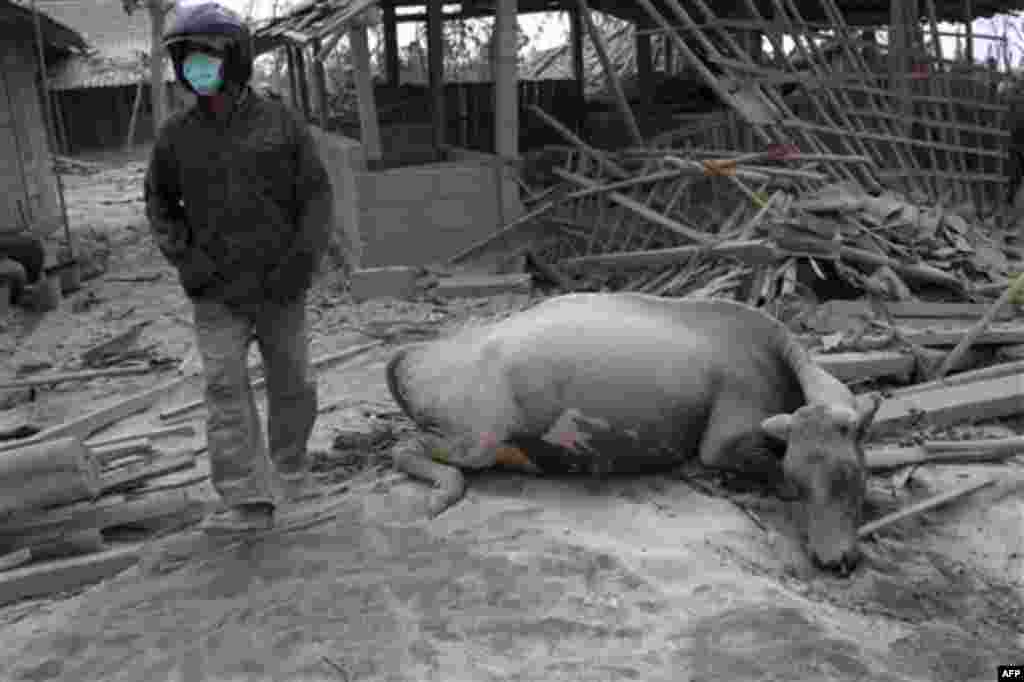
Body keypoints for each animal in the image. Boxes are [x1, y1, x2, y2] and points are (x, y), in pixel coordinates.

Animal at [385, 290, 880, 569]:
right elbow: (755, 465)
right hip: (477, 438)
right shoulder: (720, 444)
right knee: (404, 446)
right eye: (802, 482)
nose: (834, 560)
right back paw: (442, 491)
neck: (776, 360)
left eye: (850, 475)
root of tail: (415, 357)